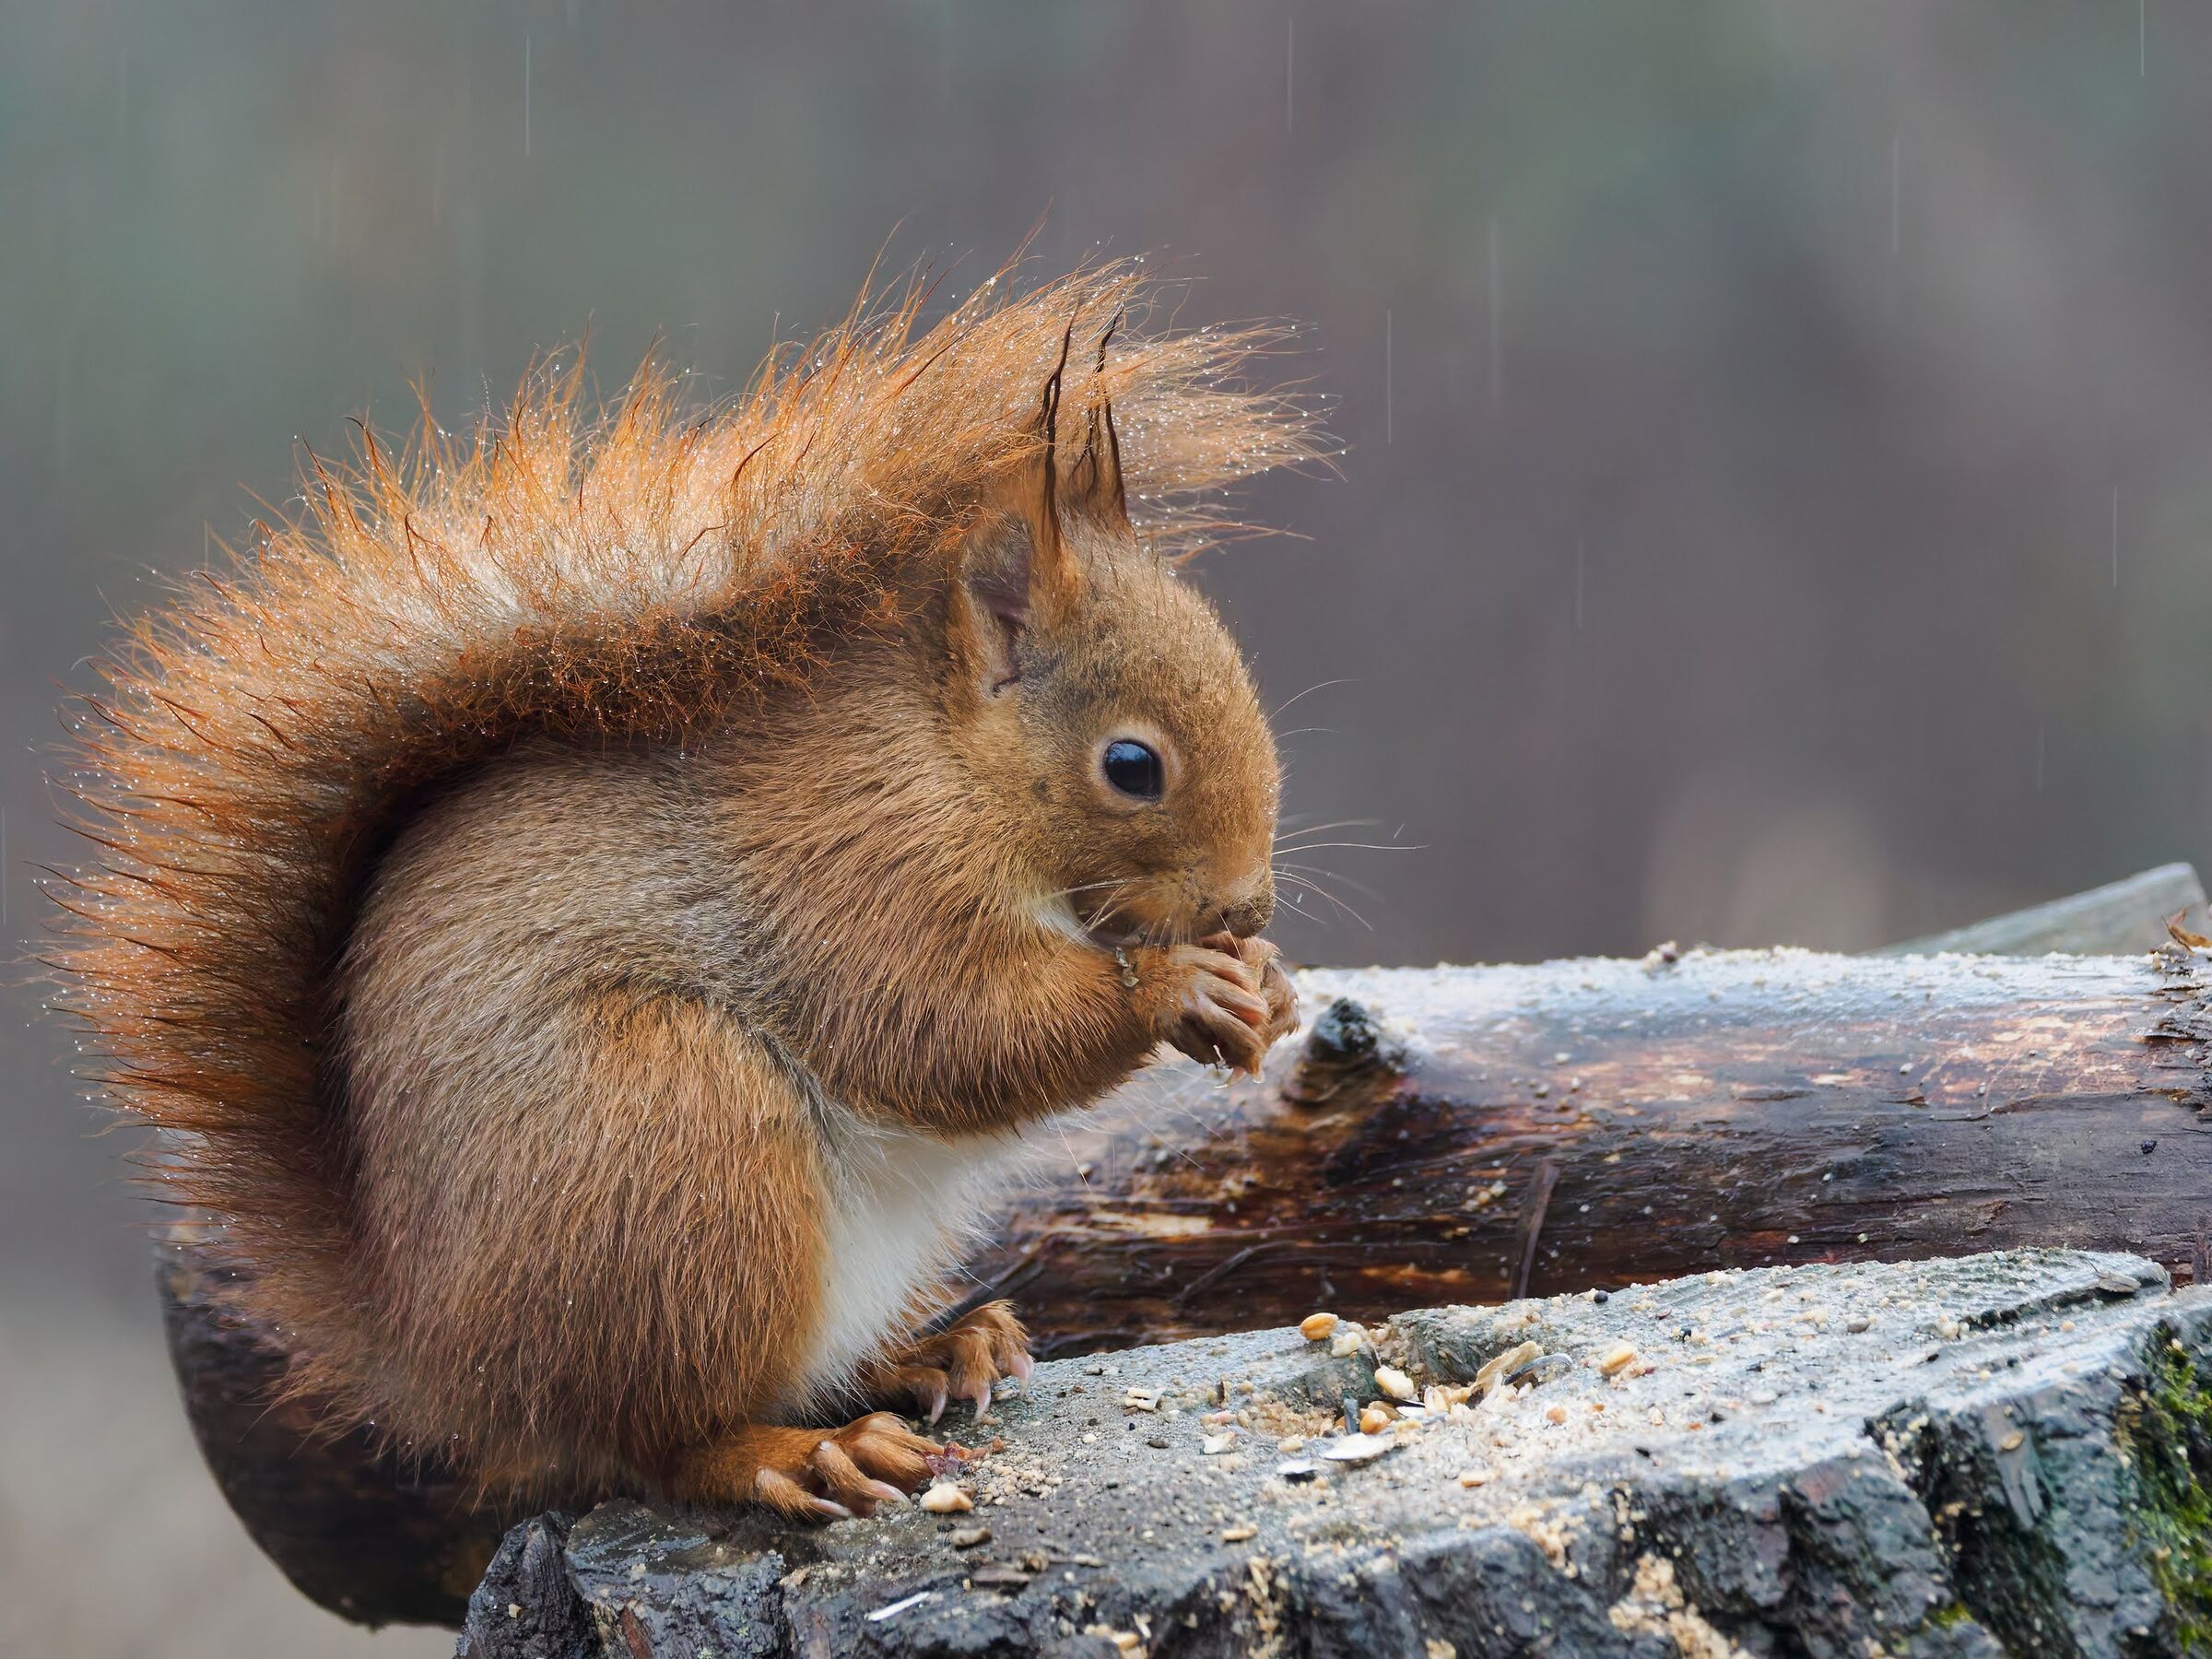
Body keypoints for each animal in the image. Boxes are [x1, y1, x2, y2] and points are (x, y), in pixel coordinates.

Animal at [49, 260, 1320, 1520]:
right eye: (1132, 766)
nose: (1243, 909)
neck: (946, 761)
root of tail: (440, 1354)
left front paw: (1266, 988)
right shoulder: (852, 868)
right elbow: (944, 1031)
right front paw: (1173, 988)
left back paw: (935, 1349)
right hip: (678, 1144)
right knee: (660, 1439)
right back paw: (800, 1453)